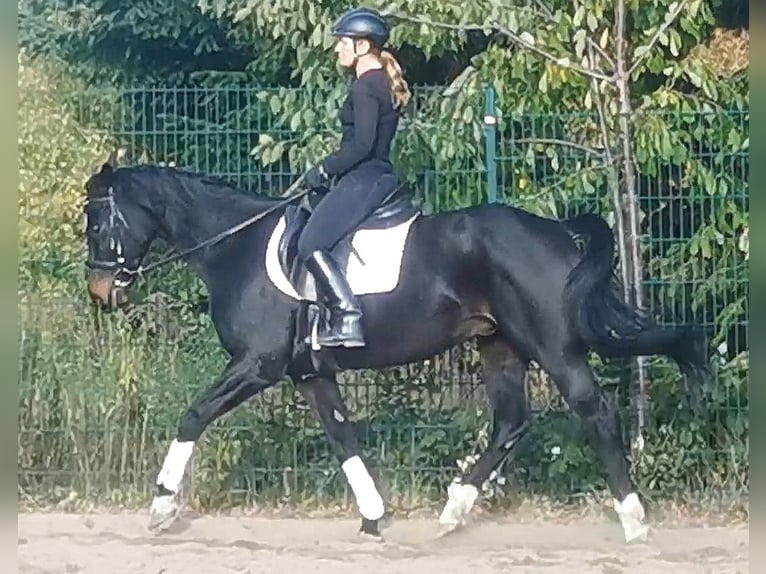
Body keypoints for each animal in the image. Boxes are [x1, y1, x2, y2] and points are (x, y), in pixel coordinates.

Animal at [81, 161, 711, 543]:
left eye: (95, 221)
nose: (101, 291)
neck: (235, 246)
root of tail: (557, 231)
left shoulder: (256, 366)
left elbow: (193, 415)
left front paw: (162, 506)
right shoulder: (309, 374)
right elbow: (343, 439)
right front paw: (373, 517)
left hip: (553, 347)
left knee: (594, 412)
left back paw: (633, 521)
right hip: (499, 348)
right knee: (512, 421)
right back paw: (453, 511)